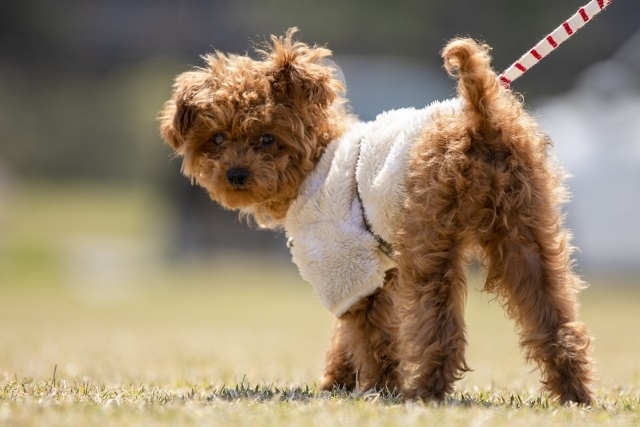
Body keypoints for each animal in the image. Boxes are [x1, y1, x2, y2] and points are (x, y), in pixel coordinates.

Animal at [161, 29, 596, 404]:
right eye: (217, 139)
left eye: (267, 138)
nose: (235, 174)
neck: (315, 163)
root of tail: (481, 119)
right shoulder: (373, 271)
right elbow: (347, 334)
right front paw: (337, 382)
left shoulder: (344, 261)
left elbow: (370, 335)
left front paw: (378, 387)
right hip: (523, 232)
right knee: (554, 317)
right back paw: (574, 393)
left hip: (429, 240)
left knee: (440, 328)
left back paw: (424, 391)